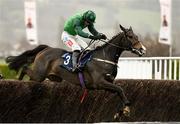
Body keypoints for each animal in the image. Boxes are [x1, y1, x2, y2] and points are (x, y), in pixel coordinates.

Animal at [5, 24, 146, 118]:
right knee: (24, 68)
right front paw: (126, 107)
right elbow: (120, 89)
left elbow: (118, 91)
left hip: (49, 77)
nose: (143, 49)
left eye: (136, 36)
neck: (105, 57)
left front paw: (122, 110)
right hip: (39, 74)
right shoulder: (99, 83)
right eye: (130, 36)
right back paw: (19, 82)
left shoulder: (108, 83)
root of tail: (46, 49)